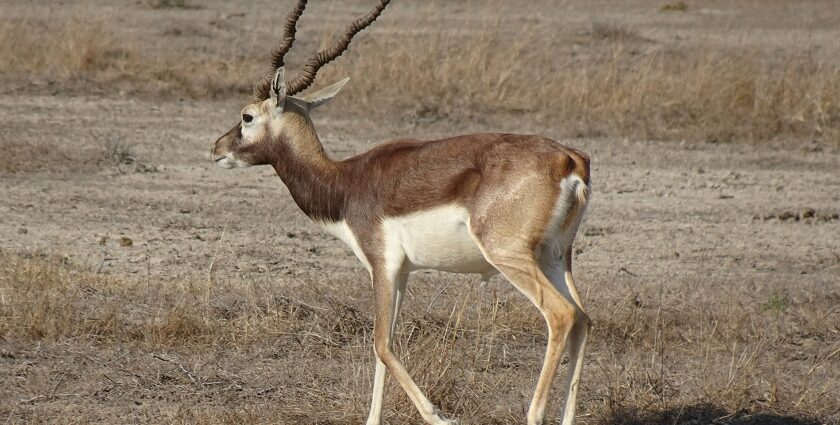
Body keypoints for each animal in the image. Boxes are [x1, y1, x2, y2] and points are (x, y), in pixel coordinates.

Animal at [210, 1, 592, 422]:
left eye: (246, 116)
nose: (217, 148)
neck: (345, 182)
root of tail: (570, 160)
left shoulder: (381, 264)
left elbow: (380, 343)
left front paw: (438, 415)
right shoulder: (403, 272)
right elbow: (385, 344)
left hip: (510, 256)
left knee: (562, 316)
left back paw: (533, 413)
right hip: (555, 257)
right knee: (584, 319)